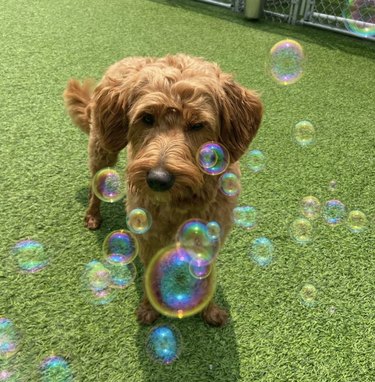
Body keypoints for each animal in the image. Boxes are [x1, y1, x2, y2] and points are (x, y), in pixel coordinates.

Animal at [64, 53, 264, 326]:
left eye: (198, 125)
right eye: (147, 118)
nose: (158, 179)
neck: (180, 201)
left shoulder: (212, 233)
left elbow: (206, 275)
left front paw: (209, 309)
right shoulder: (148, 234)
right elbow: (151, 272)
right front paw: (150, 307)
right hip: (102, 146)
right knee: (97, 184)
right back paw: (93, 215)